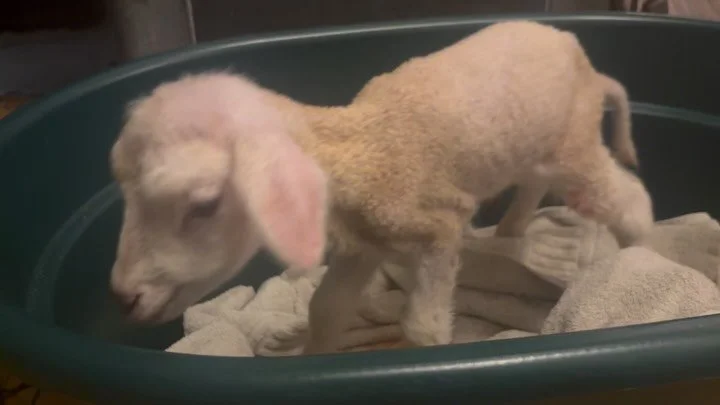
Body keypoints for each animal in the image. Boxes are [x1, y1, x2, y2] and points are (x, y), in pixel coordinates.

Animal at [108, 20, 654, 355]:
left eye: (203, 204)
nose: (122, 299)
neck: (362, 148)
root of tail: (576, 49)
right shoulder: (363, 246)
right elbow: (325, 309)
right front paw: (310, 356)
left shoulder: (435, 230)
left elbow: (423, 327)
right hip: (537, 143)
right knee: (535, 182)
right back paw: (510, 233)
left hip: (575, 144)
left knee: (629, 200)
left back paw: (647, 257)